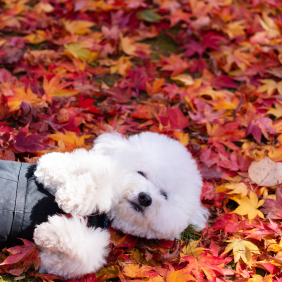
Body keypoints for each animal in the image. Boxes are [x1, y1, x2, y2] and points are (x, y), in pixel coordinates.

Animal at [33, 132, 209, 278]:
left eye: (164, 195)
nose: (145, 198)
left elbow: (77, 252)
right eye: (141, 173)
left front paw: (49, 232)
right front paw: (54, 173)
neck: (108, 216)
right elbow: (88, 166)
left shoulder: (77, 255)